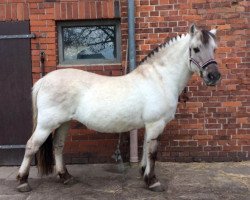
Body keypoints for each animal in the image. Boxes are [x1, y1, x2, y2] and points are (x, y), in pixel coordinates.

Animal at [17, 24, 221, 192]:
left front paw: (143, 173)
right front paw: (153, 181)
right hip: (46, 124)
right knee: (31, 145)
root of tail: (44, 80)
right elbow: (152, 152)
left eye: (214, 49)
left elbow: (145, 149)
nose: (214, 76)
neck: (160, 79)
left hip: (63, 123)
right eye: (196, 48)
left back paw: (65, 177)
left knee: (58, 147)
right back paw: (22, 182)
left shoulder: (149, 125)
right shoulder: (156, 124)